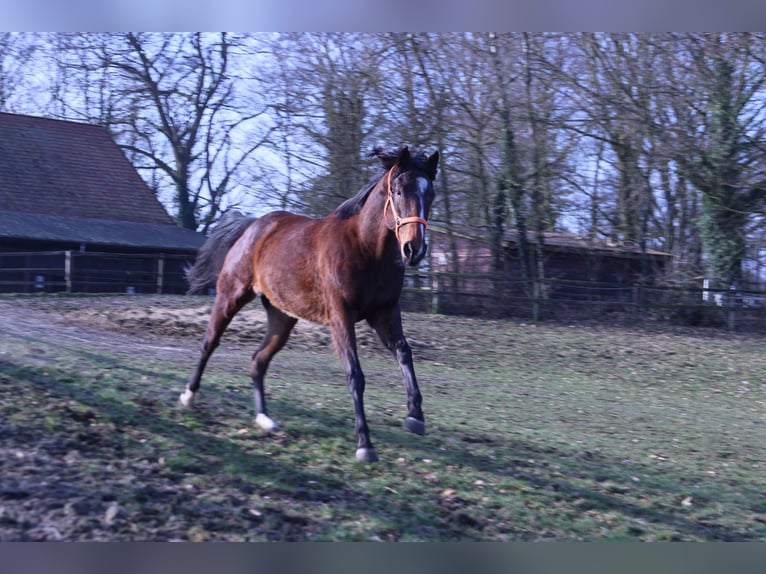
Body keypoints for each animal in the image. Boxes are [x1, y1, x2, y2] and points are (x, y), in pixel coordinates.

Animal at [182, 148, 440, 464]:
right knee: (210, 342)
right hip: (231, 296)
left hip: (282, 318)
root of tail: (252, 226)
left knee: (258, 360)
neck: (365, 249)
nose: (414, 250)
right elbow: (355, 374)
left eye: (431, 195)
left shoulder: (385, 313)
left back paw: (264, 419)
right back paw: (189, 396)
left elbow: (404, 352)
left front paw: (415, 417)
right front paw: (364, 444)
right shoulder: (341, 316)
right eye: (399, 190)